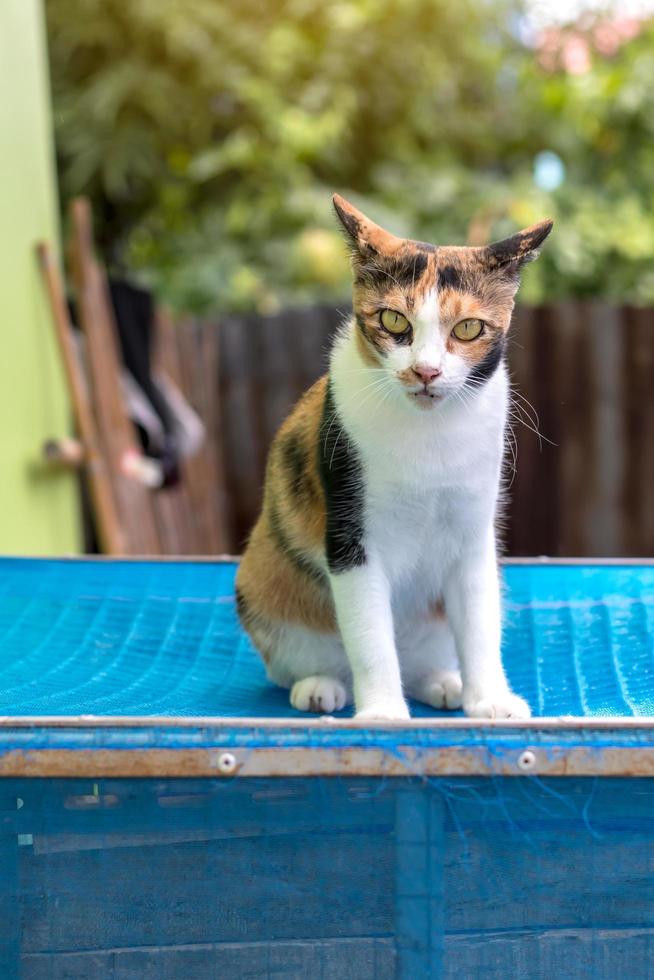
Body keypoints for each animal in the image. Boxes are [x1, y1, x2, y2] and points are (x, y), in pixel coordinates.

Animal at [236, 195, 552, 720]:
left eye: (468, 328)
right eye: (393, 321)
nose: (426, 371)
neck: (428, 435)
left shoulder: (473, 535)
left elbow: (480, 626)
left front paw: (489, 699)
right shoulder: (350, 536)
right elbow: (370, 639)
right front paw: (383, 713)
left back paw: (442, 682)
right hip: (262, 584)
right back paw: (319, 686)